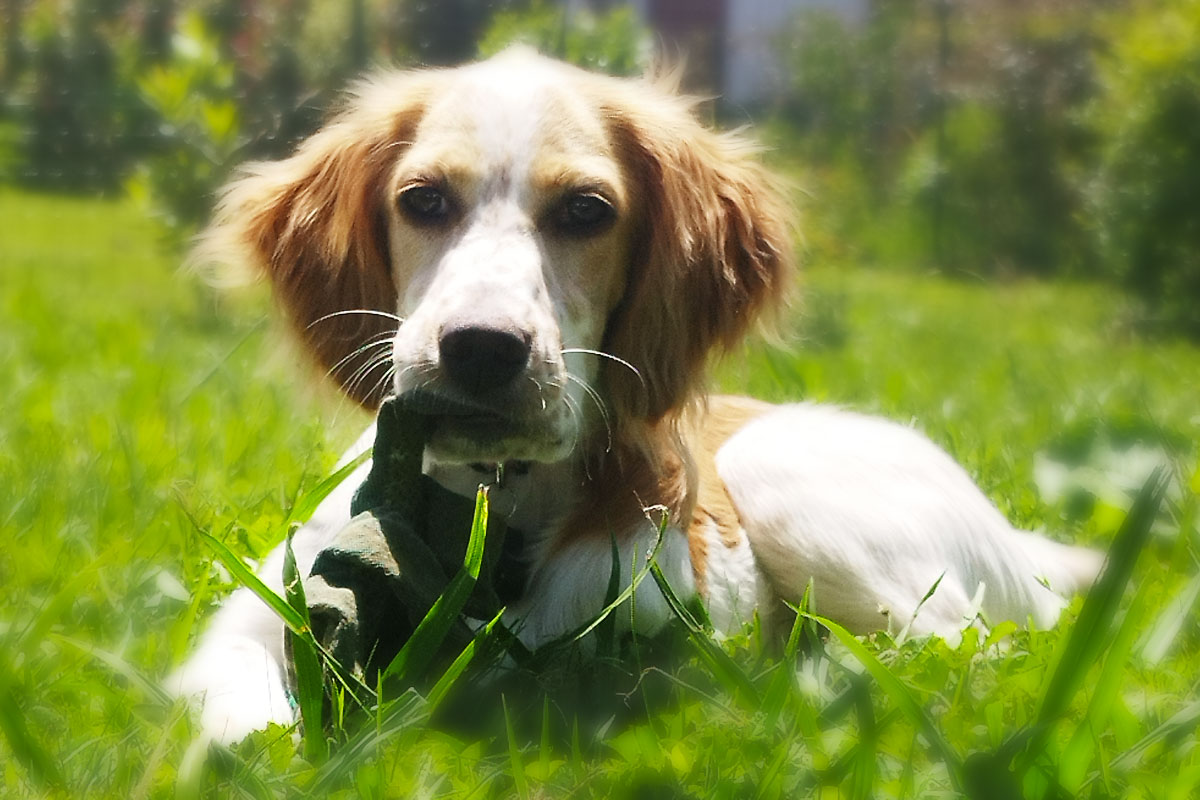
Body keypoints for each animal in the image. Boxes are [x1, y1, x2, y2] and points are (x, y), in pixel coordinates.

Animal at [174, 51, 1099, 743]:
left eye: (587, 211)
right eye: (423, 200)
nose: (481, 348)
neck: (493, 504)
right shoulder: (246, 625)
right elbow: (243, 728)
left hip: (788, 486)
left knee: (959, 653)